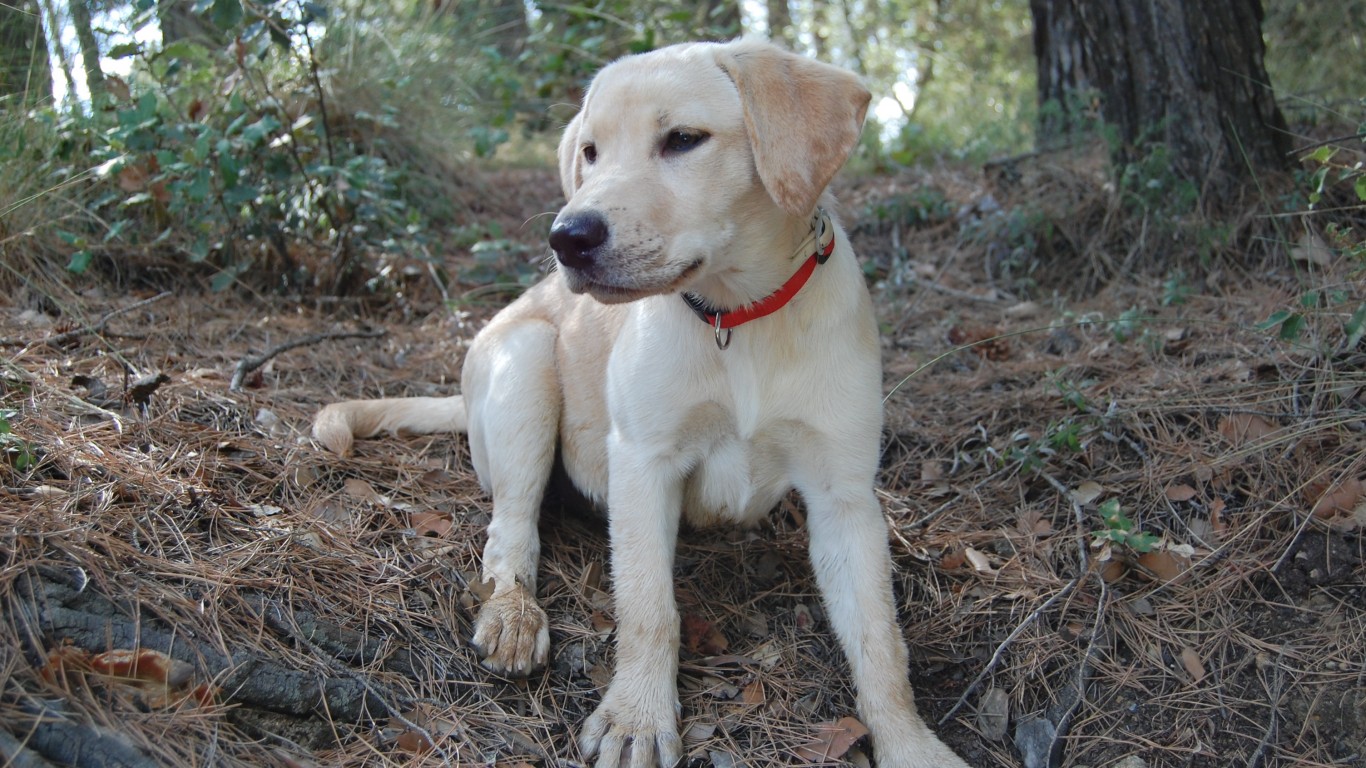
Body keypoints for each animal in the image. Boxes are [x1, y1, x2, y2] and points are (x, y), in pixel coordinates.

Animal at [312, 40, 967, 765]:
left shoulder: (844, 494)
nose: (567, 237)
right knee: (510, 530)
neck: (738, 315)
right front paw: (637, 718)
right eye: (591, 152)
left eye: (682, 139)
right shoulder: (642, 461)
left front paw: (910, 744)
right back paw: (513, 613)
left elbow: (881, 642)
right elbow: (649, 606)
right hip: (527, 363)